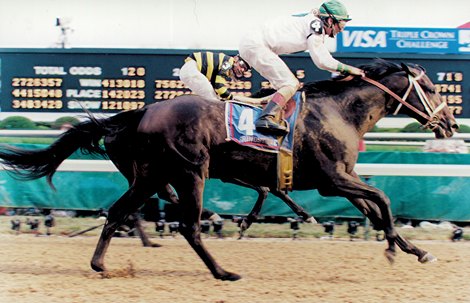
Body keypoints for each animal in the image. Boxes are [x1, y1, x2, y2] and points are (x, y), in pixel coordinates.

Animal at [0, 60, 458, 282]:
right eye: (432, 87)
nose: (451, 123)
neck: (340, 111)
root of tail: (141, 112)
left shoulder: (339, 183)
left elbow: (376, 210)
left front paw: (414, 250)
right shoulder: (333, 179)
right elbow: (383, 200)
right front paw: (396, 249)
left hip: (150, 176)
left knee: (118, 212)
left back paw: (101, 266)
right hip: (191, 172)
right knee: (188, 226)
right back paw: (223, 272)